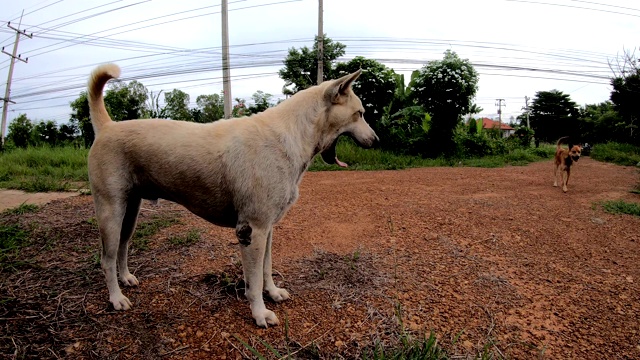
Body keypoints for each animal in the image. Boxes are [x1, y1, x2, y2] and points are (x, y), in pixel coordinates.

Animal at [89, 63, 380, 328]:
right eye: (359, 113)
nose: (377, 141)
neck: (291, 135)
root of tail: (107, 126)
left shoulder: (268, 229)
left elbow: (266, 268)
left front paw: (273, 293)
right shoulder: (252, 230)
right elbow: (254, 280)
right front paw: (260, 313)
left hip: (130, 213)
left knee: (123, 247)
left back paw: (126, 278)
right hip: (111, 212)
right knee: (106, 259)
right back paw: (116, 298)